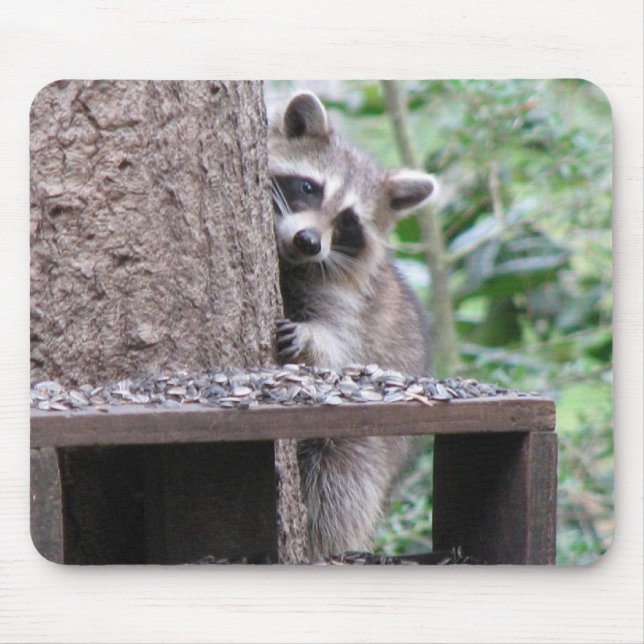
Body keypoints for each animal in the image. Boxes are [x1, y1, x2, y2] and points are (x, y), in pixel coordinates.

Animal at [269, 91, 435, 559]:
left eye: (348, 220)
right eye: (309, 187)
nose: (309, 242)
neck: (290, 261)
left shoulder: (349, 301)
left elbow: (341, 350)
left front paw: (310, 338)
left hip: (368, 448)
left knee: (341, 483)